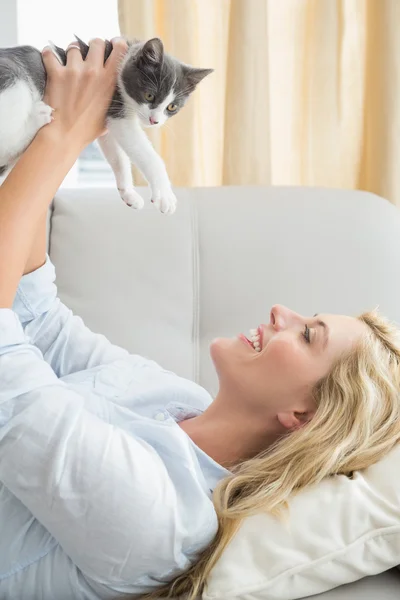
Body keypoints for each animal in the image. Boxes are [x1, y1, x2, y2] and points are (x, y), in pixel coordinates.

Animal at [0, 36, 212, 214]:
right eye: (149, 95)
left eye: (172, 107)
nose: (155, 121)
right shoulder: (116, 105)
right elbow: (146, 153)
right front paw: (165, 194)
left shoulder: (105, 122)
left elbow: (117, 155)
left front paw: (128, 193)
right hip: (15, 82)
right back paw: (38, 117)